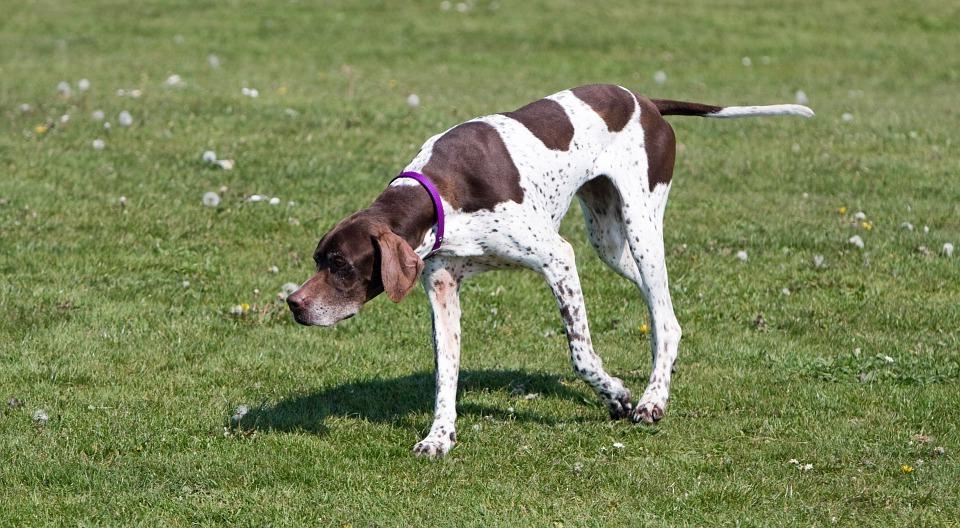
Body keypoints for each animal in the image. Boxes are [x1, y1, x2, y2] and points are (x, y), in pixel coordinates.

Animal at [284, 84, 808, 456]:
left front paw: (616, 394)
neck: (440, 194)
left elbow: (581, 355)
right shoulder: (443, 288)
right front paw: (440, 436)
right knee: (665, 314)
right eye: (317, 260)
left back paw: (652, 399)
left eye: (341, 265)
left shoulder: (558, 258)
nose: (293, 304)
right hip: (609, 243)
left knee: (663, 314)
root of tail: (646, 101)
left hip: (641, 226)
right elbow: (445, 373)